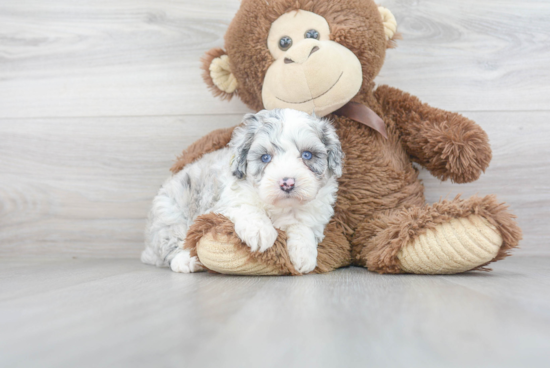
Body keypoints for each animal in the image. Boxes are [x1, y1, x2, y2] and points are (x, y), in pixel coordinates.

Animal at [140, 108, 342, 274]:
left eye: (307, 155)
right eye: (265, 157)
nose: (287, 183)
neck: (281, 208)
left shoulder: (315, 213)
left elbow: (303, 226)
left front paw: (304, 255)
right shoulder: (223, 202)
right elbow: (246, 207)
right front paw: (260, 232)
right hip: (169, 215)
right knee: (170, 242)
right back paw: (185, 260)